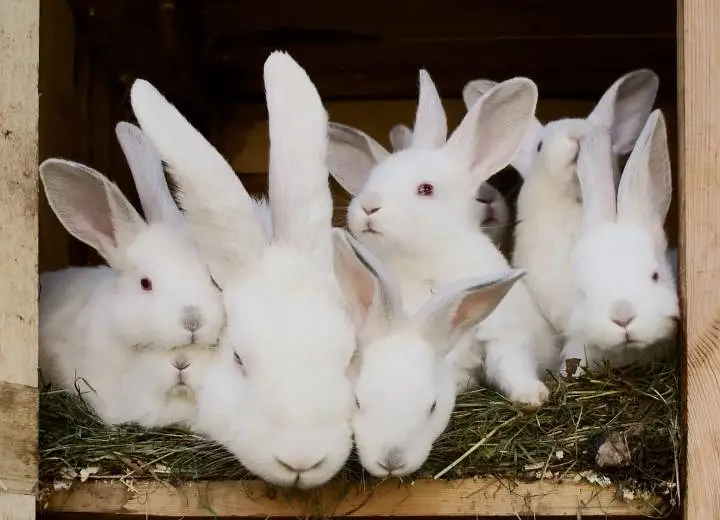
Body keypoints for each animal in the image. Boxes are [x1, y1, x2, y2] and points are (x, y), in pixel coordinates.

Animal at [326, 71, 558, 410]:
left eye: (425, 189)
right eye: (371, 180)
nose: (368, 206)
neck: (426, 260)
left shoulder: (504, 333)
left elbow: (512, 366)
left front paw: (532, 396)